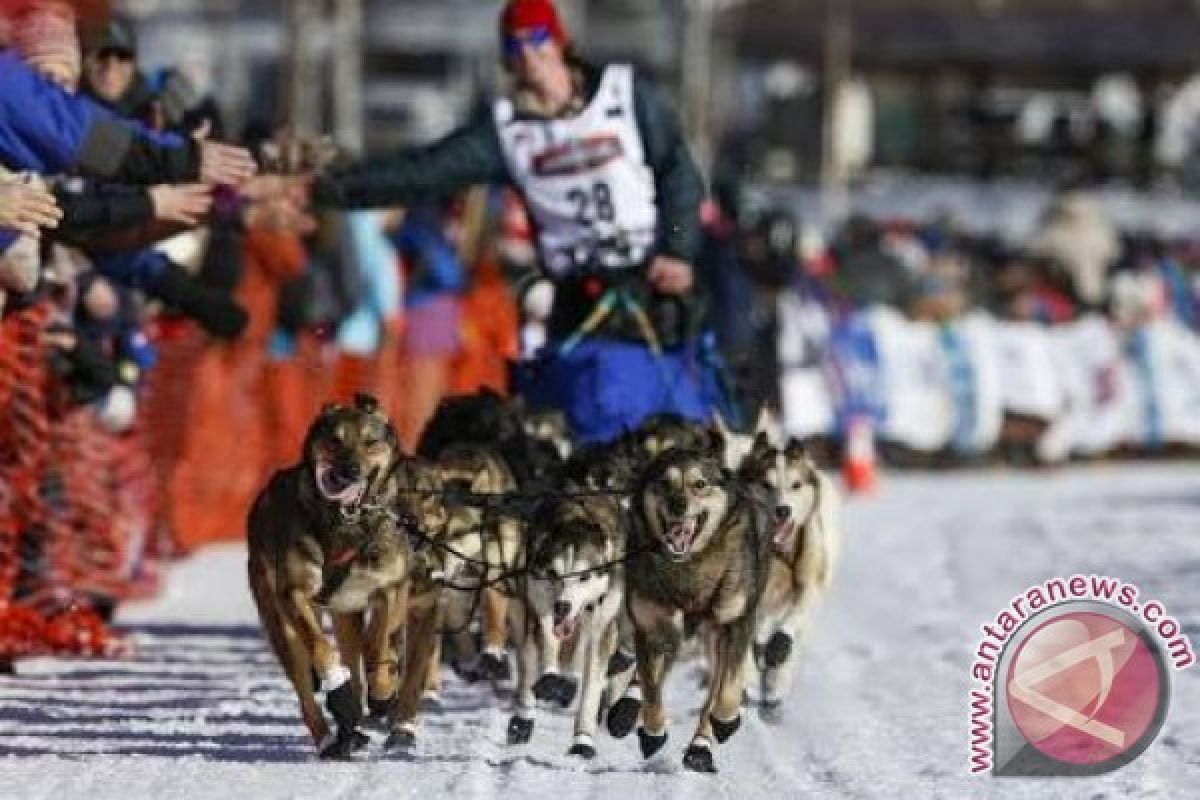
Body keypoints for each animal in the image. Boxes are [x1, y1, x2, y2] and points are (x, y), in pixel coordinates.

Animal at [246, 398, 410, 762]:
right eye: (334, 441)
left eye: (370, 441)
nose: (350, 471)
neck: (345, 528)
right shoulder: (294, 593)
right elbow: (320, 646)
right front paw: (338, 685)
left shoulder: (390, 587)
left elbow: (379, 640)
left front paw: (383, 689)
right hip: (281, 628)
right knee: (307, 695)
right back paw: (330, 737)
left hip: (344, 615)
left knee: (359, 653)